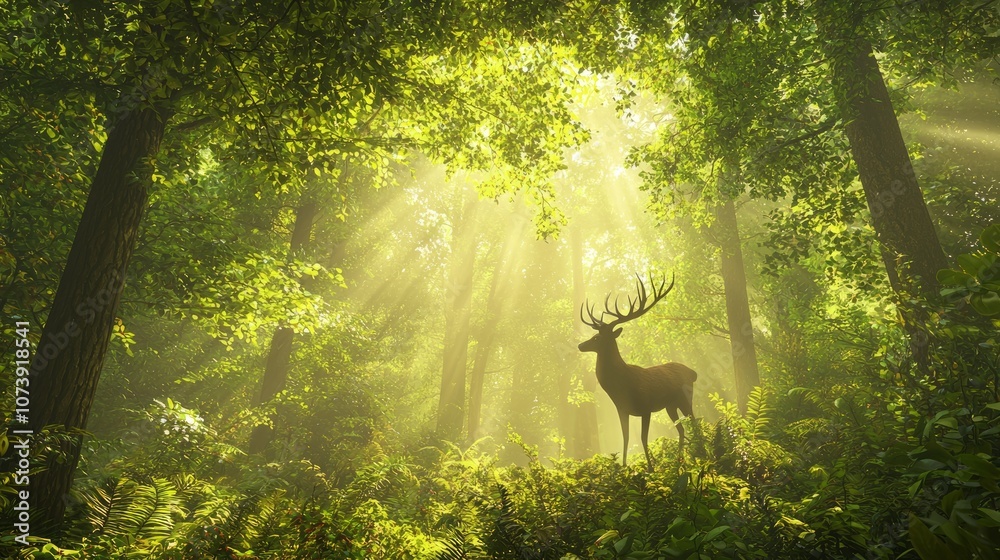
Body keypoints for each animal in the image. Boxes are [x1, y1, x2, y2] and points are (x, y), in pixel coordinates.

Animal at [578, 273, 696, 470]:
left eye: (597, 338)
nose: (580, 345)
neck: (621, 386)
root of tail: (694, 373)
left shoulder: (646, 407)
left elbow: (642, 438)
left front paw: (650, 468)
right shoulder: (622, 409)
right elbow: (626, 438)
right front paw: (624, 468)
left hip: (685, 399)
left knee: (695, 423)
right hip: (670, 405)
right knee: (681, 428)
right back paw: (679, 462)